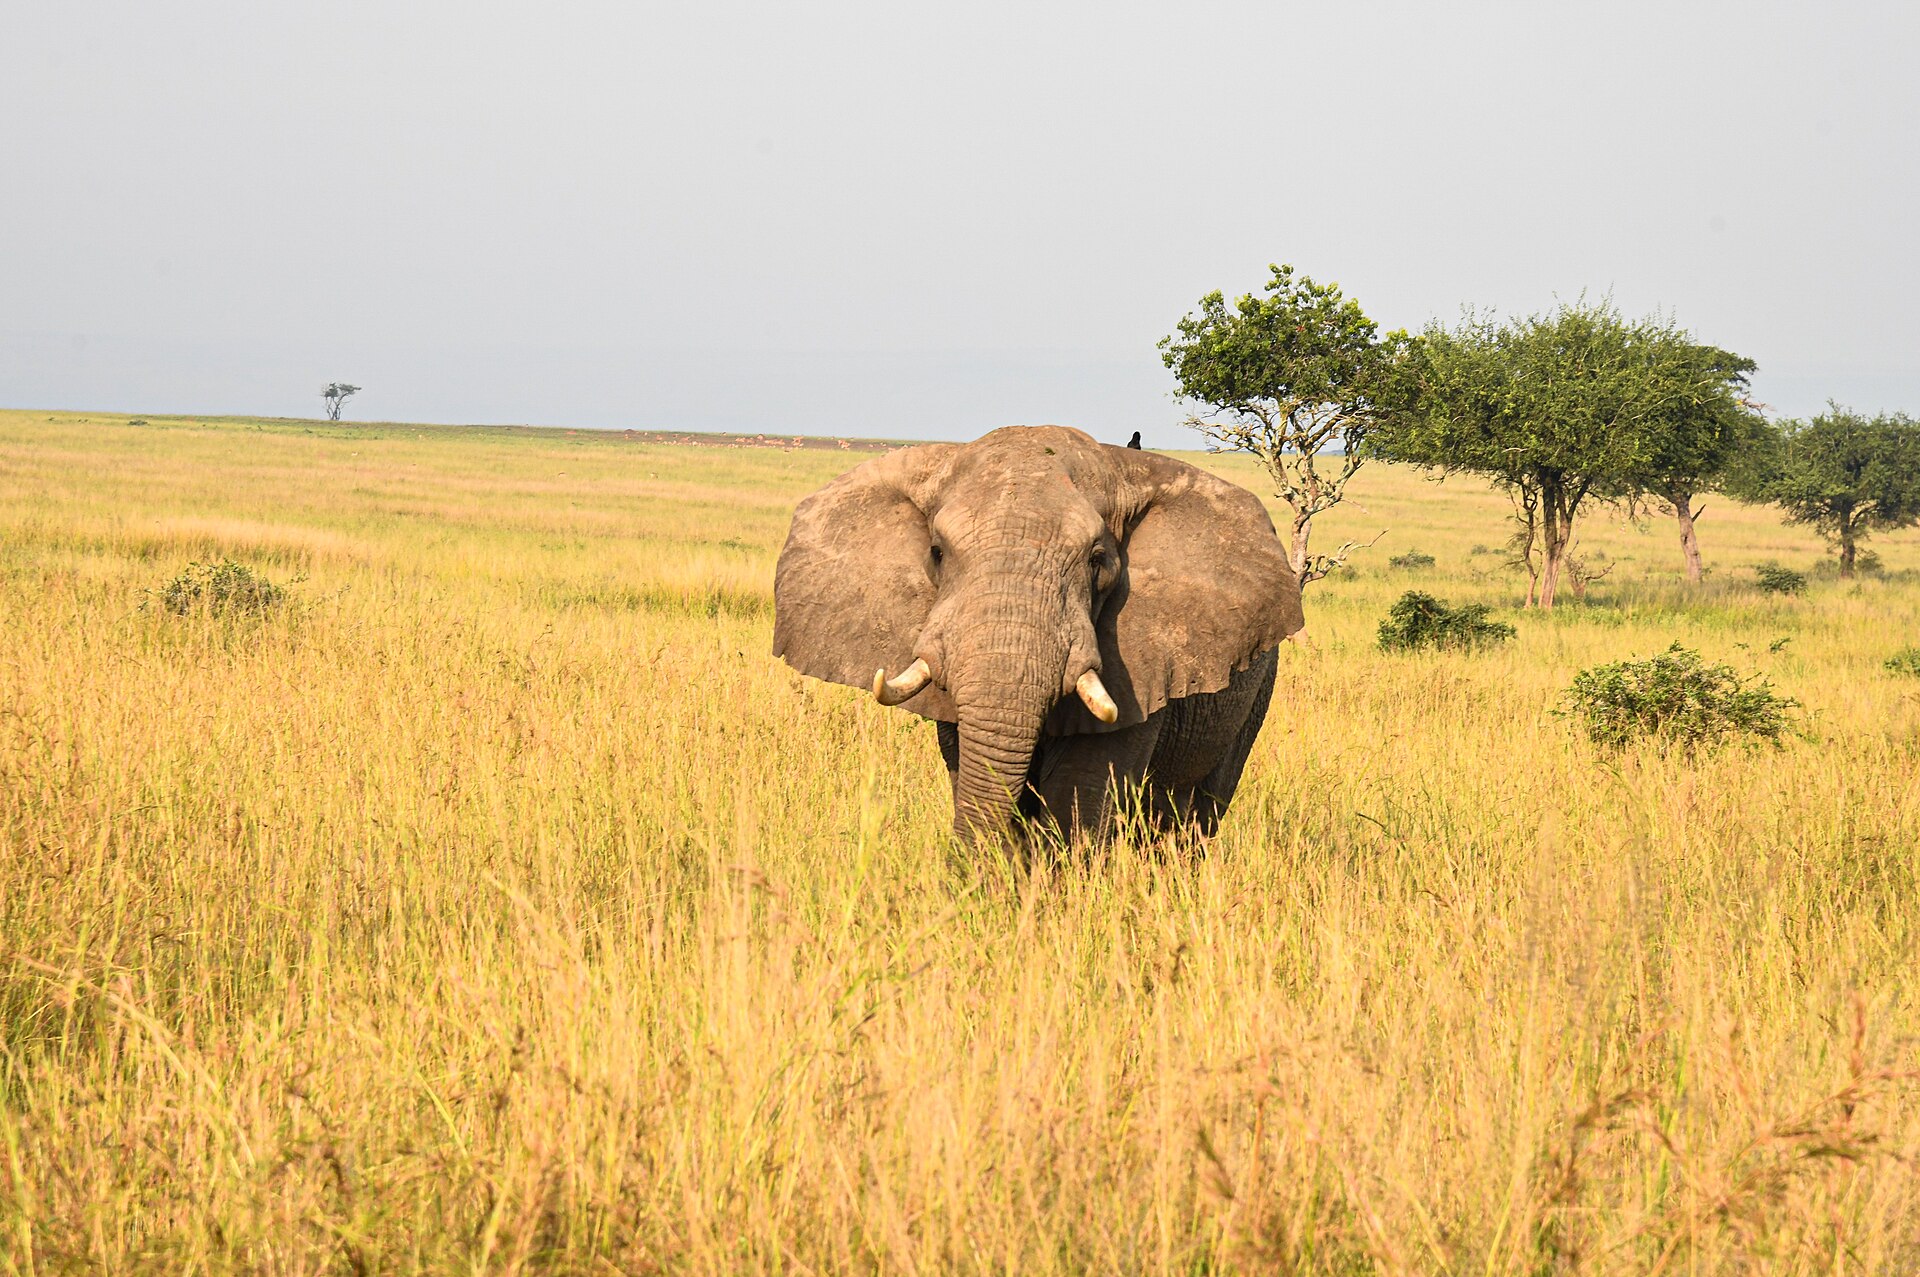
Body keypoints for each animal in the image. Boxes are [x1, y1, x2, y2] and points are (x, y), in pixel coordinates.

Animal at [772, 425, 1303, 845]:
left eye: (1097, 560)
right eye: (937, 553)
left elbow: (1079, 791)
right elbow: (972, 766)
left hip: (1256, 692)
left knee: (1201, 810)